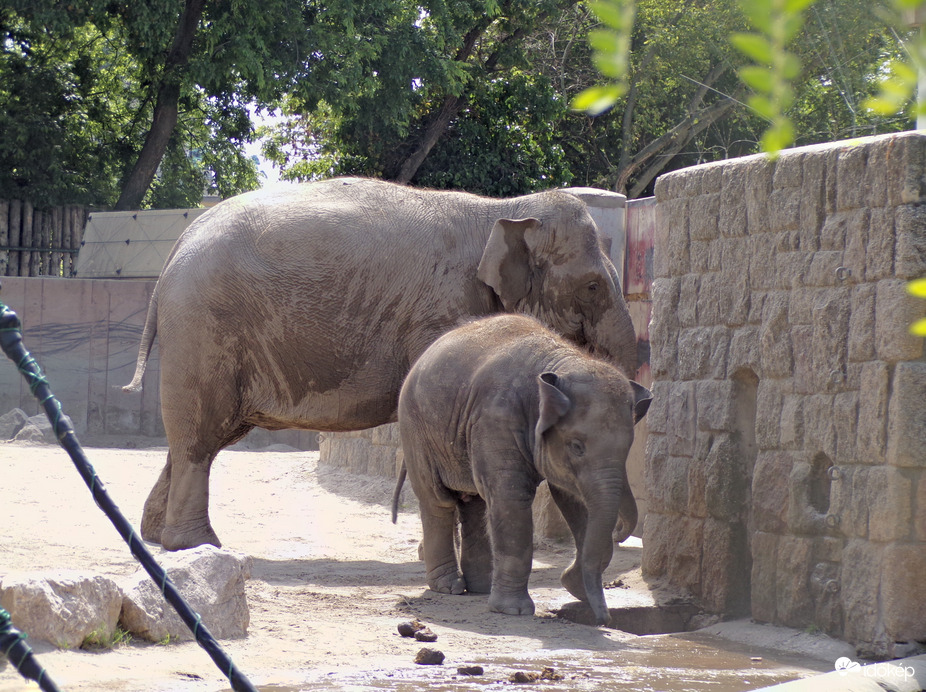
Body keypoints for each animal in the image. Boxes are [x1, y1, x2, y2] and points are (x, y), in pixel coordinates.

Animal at [127, 177, 640, 552]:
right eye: (593, 286)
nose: (619, 537)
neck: (502, 209)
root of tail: (180, 242)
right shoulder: (444, 310)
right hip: (204, 325)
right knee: (200, 436)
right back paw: (197, 547)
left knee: (203, 435)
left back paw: (157, 538)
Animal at [394, 316, 652, 624]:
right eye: (577, 446)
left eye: (628, 448)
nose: (605, 619)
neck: (563, 362)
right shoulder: (496, 418)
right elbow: (512, 498)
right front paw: (513, 611)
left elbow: (574, 499)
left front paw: (573, 586)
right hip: (415, 429)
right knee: (438, 501)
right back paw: (449, 587)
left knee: (474, 503)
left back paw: (480, 587)